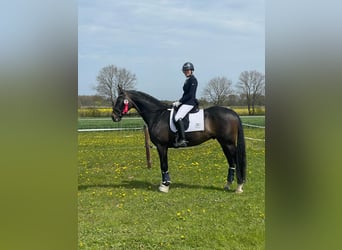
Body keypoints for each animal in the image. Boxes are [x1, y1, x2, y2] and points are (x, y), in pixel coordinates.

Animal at [112, 89, 246, 193]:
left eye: (120, 100)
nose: (114, 117)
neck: (157, 115)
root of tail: (233, 113)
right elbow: (164, 165)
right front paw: (165, 184)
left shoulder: (161, 146)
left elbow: (163, 165)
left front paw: (164, 186)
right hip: (224, 143)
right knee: (231, 162)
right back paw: (228, 185)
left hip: (228, 143)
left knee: (236, 161)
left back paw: (239, 187)